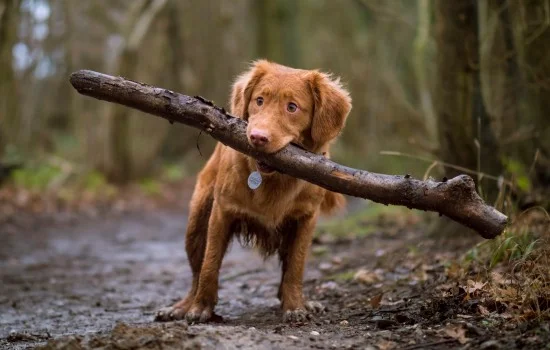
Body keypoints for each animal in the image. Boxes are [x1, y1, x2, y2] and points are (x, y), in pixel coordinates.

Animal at [155, 59, 354, 322]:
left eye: (292, 107)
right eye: (259, 100)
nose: (258, 137)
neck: (273, 179)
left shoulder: (306, 219)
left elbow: (295, 267)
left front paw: (295, 306)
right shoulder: (222, 212)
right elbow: (210, 264)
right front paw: (200, 308)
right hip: (196, 222)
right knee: (197, 271)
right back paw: (182, 306)